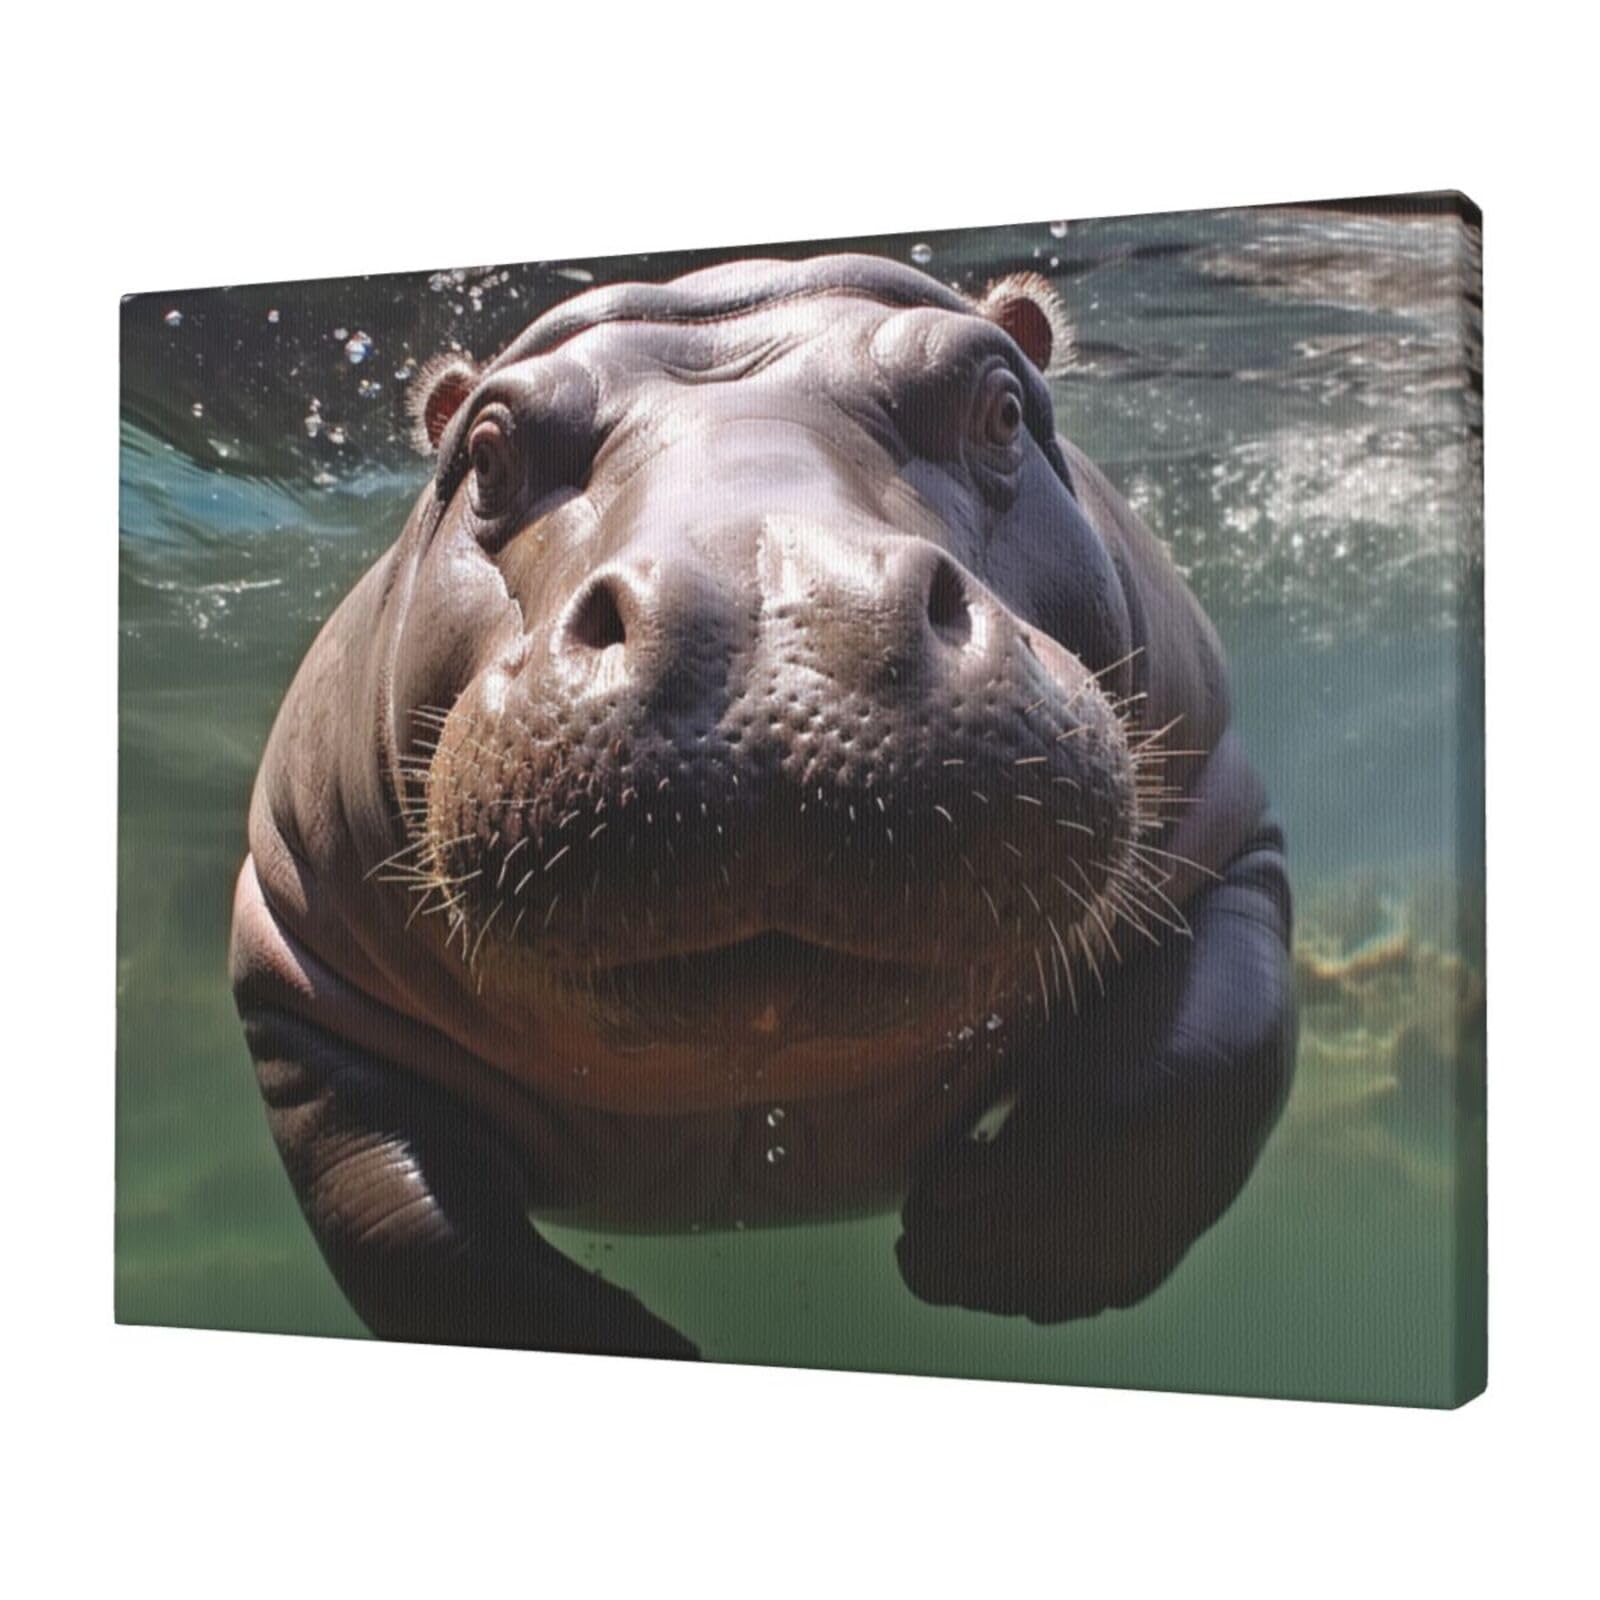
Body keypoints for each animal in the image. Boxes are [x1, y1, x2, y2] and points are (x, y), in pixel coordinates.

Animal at [229, 254, 1296, 1360]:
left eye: (1002, 407)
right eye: (486, 454)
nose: (773, 609)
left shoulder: (1224, 845)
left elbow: (1195, 1069)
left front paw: (978, 1247)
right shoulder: (296, 962)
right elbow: (398, 1221)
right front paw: (646, 1348)